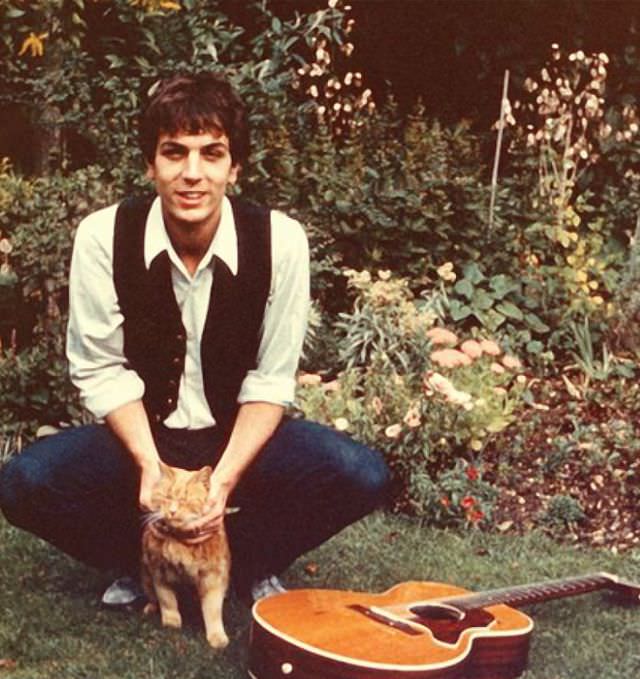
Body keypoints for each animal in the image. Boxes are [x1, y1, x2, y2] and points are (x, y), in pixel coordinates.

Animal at [141, 464, 231, 652]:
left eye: (185, 500)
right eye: (167, 497)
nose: (172, 511)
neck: (179, 544)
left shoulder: (212, 577)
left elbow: (213, 610)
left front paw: (217, 636)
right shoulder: (158, 572)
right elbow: (166, 600)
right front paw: (171, 622)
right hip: (145, 578)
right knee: (152, 598)